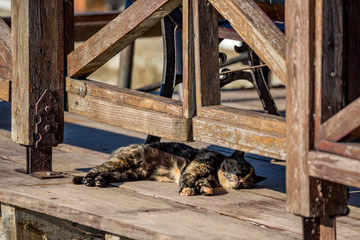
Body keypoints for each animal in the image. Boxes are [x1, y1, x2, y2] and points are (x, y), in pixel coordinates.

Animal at [73, 142, 266, 195]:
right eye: (240, 168)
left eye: (248, 182)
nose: (240, 181)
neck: (215, 174)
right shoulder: (194, 168)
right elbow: (187, 180)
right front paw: (187, 190)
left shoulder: (204, 177)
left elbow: (203, 184)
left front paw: (205, 190)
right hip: (123, 161)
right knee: (97, 168)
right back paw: (86, 179)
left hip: (129, 173)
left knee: (108, 173)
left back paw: (98, 181)